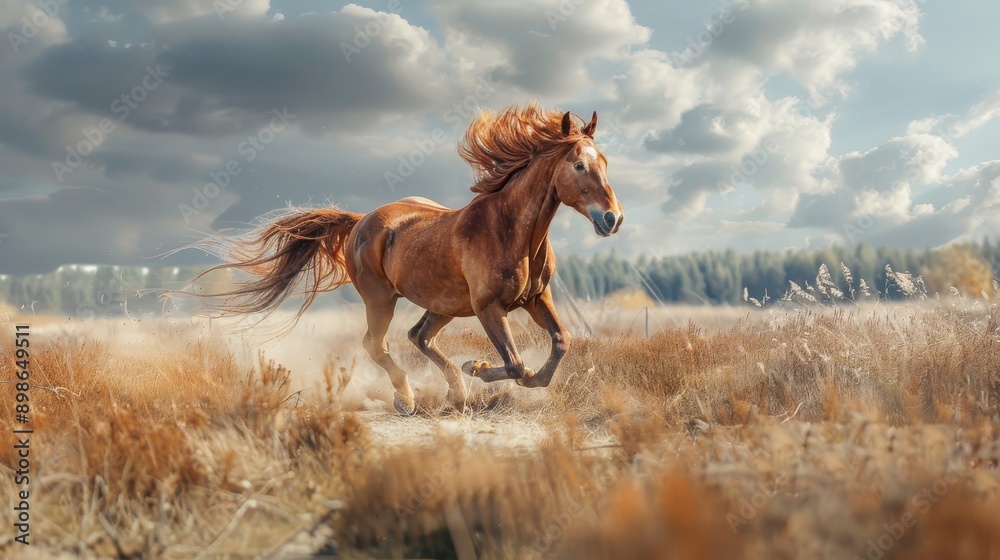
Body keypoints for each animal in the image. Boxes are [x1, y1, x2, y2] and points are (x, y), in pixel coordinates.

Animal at [189, 102, 623, 414]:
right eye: (578, 165)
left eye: (604, 162)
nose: (612, 219)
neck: (512, 230)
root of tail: (361, 220)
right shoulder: (489, 307)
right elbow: (516, 363)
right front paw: (479, 368)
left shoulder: (536, 299)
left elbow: (560, 344)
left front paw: (499, 377)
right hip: (381, 299)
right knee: (376, 344)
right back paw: (408, 398)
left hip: (444, 304)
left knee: (419, 336)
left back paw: (456, 393)